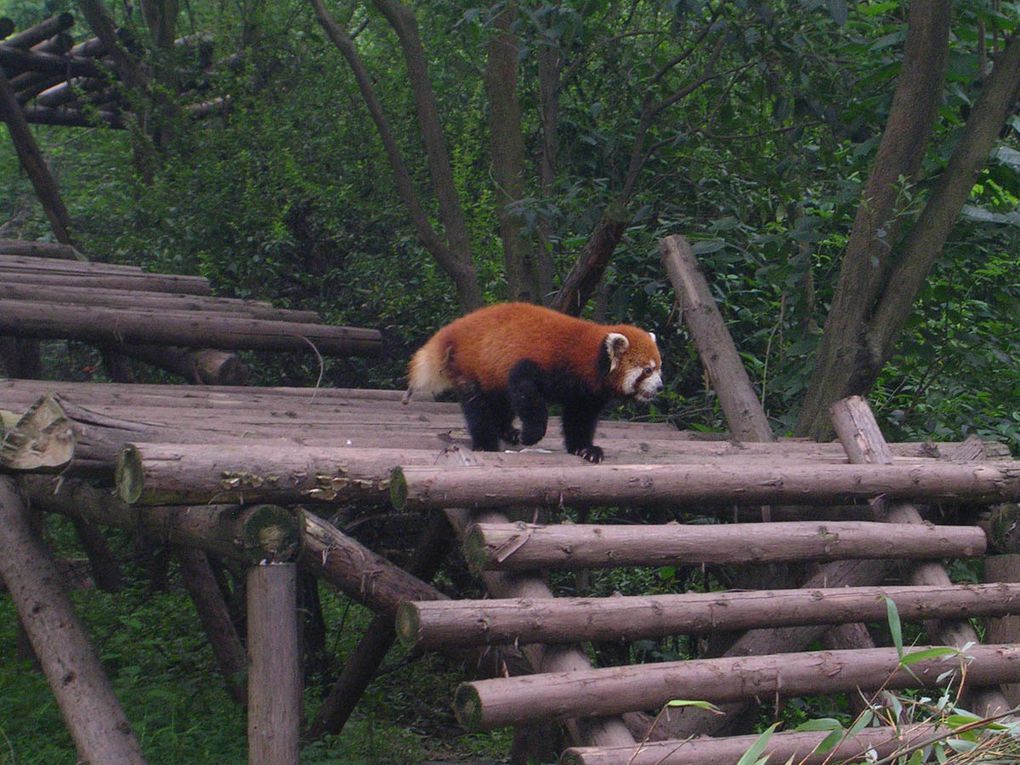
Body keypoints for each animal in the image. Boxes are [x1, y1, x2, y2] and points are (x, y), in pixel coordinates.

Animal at [401, 303, 665, 461]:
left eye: (660, 368)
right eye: (647, 370)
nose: (660, 386)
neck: (586, 357)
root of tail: (454, 329)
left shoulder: (586, 394)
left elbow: (579, 419)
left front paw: (585, 449)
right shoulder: (540, 365)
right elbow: (528, 395)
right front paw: (531, 436)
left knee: (500, 402)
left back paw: (507, 430)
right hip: (472, 367)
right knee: (478, 407)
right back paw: (486, 442)